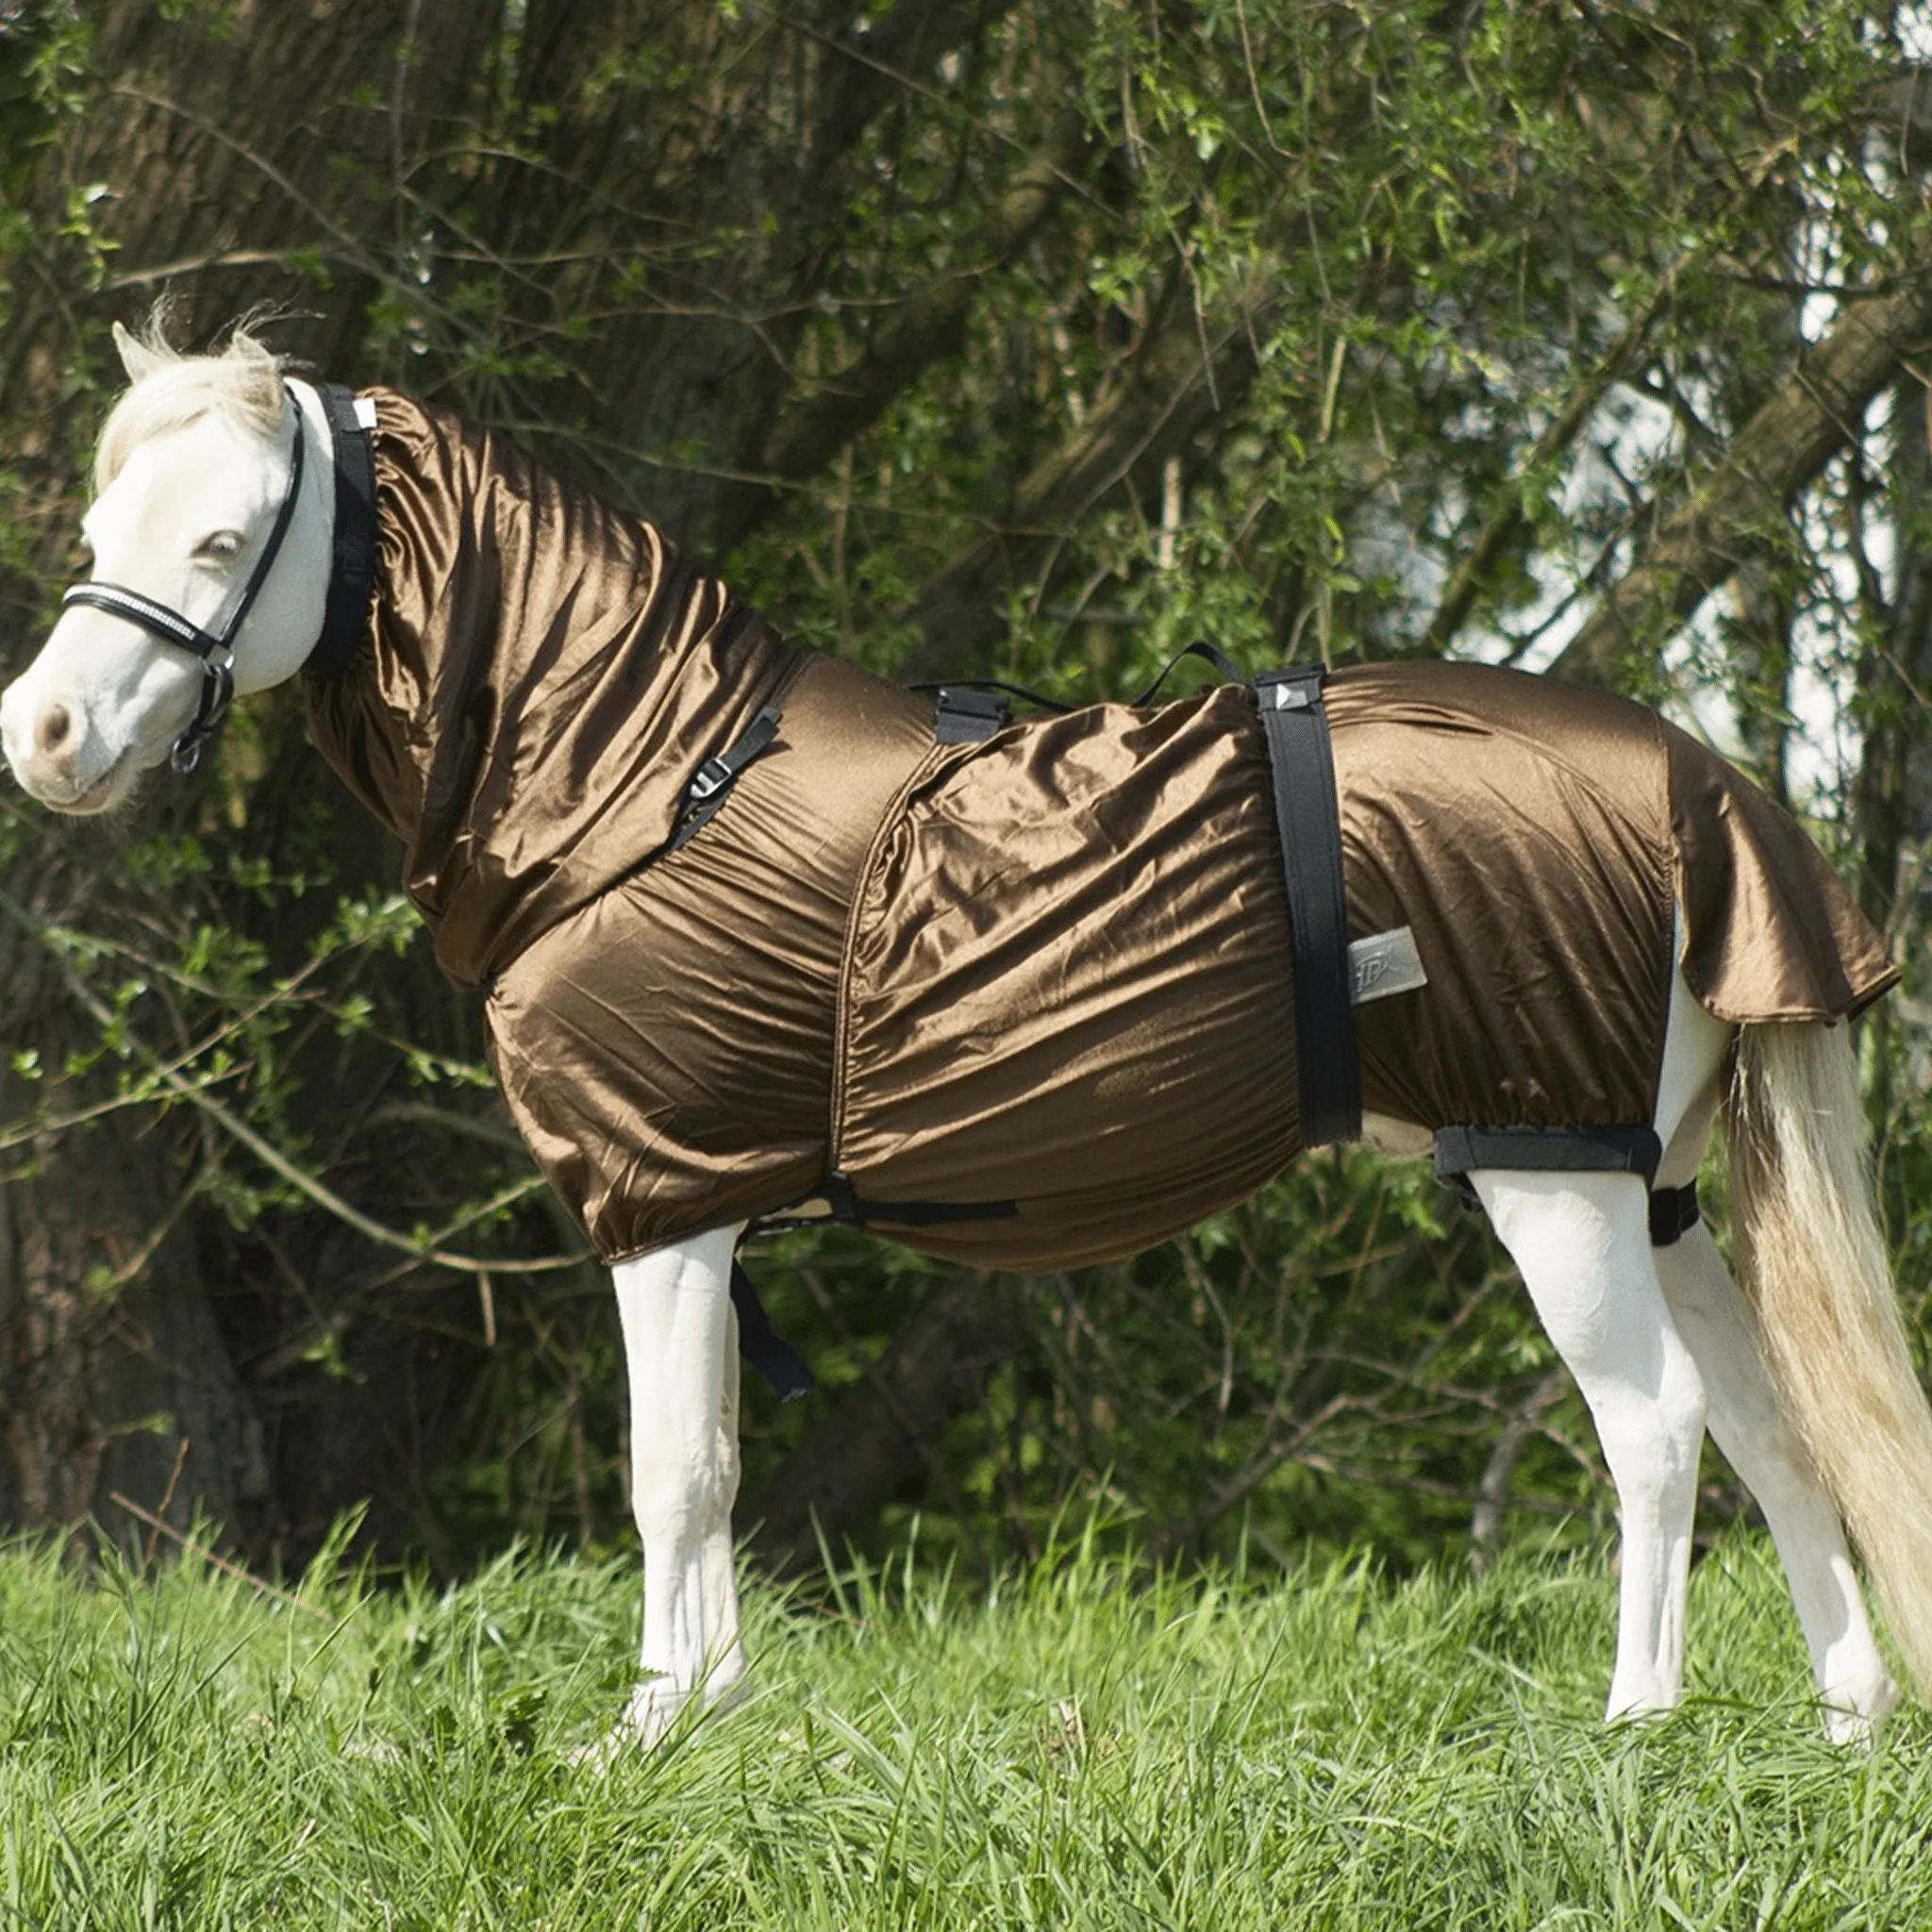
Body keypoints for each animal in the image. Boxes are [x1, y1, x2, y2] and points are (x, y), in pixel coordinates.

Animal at [5, 319, 1931, 1755]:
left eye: (225, 539)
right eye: (101, 531)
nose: (44, 734)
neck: (643, 786)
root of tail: (1698, 779)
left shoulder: (665, 1203)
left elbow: (671, 1473)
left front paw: (649, 1732)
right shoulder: (700, 1213)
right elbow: (713, 1470)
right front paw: (709, 1718)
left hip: (1549, 1176)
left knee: (1657, 1432)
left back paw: (1630, 1731)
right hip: (1650, 1184)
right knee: (1772, 1430)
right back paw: (1836, 1727)